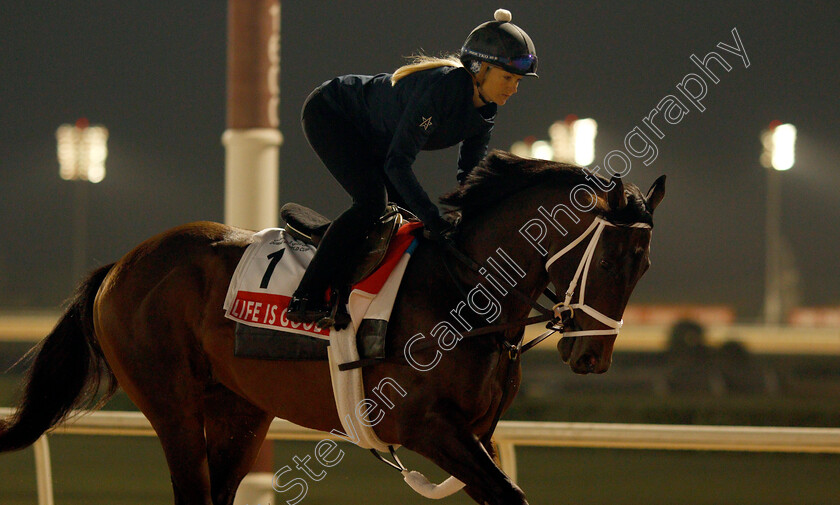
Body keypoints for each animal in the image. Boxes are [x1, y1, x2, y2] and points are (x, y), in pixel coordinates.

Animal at [3, 151, 668, 504]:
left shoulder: (475, 432)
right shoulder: (428, 426)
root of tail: (120, 265)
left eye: (645, 266)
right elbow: (508, 495)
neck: (464, 288)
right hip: (172, 406)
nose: (593, 359)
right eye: (611, 261)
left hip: (241, 412)